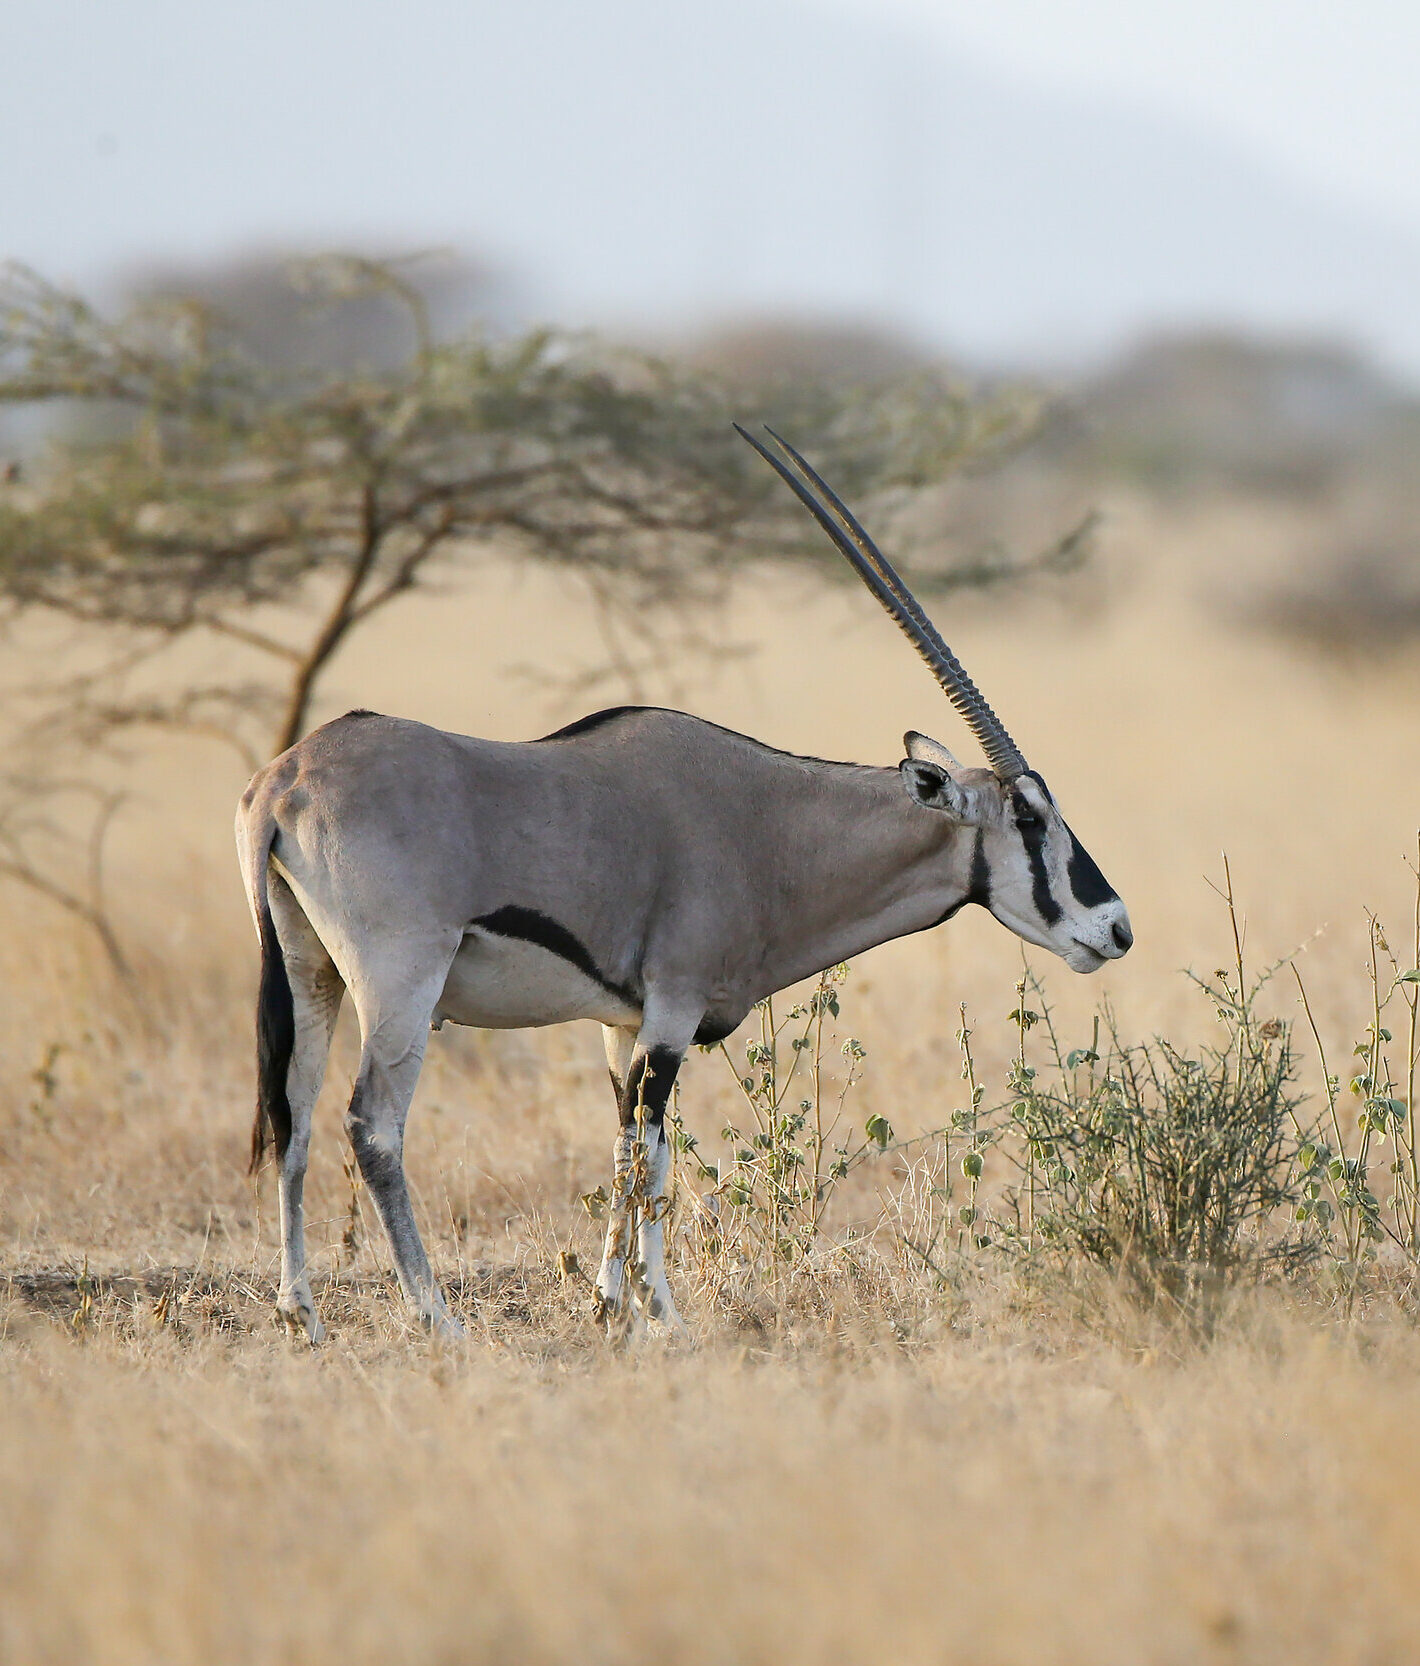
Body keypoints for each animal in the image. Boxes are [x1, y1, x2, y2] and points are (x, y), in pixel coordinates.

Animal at [236, 428, 1131, 1341]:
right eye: (1027, 816)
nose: (1116, 927)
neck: (767, 823)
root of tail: (285, 781)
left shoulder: (622, 1025)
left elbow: (632, 1146)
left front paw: (624, 1306)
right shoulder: (671, 1010)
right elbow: (651, 1154)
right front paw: (645, 1311)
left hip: (311, 971)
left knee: (293, 1112)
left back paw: (300, 1311)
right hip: (401, 985)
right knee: (372, 1126)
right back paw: (437, 1317)